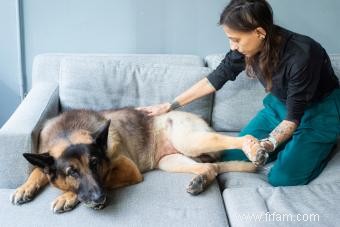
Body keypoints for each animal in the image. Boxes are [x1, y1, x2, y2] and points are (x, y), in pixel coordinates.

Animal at [10, 108, 256, 213]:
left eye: (95, 164)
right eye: (72, 172)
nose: (100, 199)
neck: (66, 132)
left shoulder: (128, 170)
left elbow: (100, 181)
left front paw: (67, 196)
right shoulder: (46, 159)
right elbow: (37, 171)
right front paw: (24, 188)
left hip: (189, 140)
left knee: (228, 141)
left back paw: (254, 148)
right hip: (171, 161)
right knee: (211, 166)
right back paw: (200, 181)